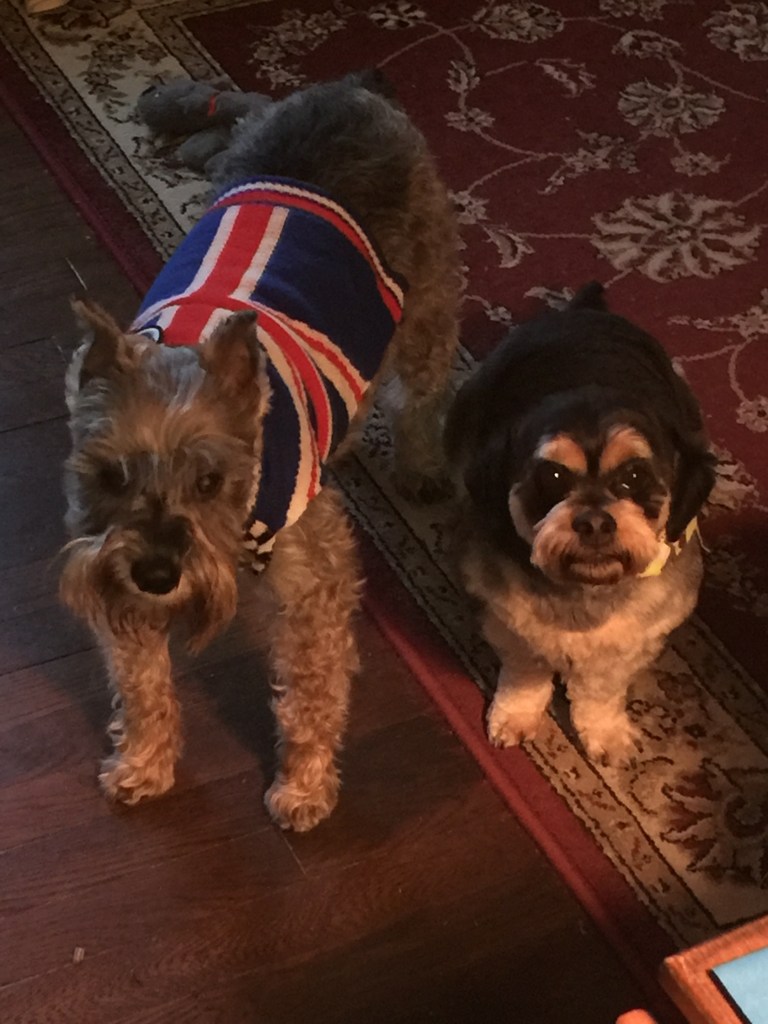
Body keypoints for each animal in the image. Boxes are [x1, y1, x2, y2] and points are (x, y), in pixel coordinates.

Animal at [60, 71, 461, 831]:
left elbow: (309, 696)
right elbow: (143, 685)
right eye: (109, 476)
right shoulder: (118, 588)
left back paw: (422, 463)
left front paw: (303, 787)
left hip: (427, 302)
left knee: (422, 392)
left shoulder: (314, 588)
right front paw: (143, 763)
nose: (157, 574)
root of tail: (345, 90)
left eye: (211, 480)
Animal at [445, 283, 715, 764]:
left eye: (633, 476)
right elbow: (526, 673)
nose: (594, 523)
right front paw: (517, 714)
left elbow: (600, 689)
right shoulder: (508, 621)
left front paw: (603, 731)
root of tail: (585, 309)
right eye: (553, 477)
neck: (584, 595)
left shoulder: (634, 638)